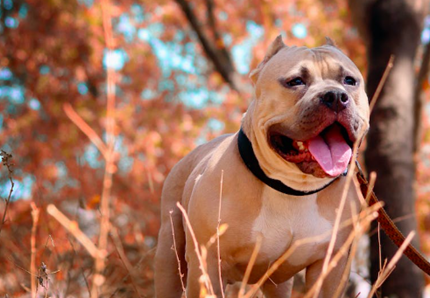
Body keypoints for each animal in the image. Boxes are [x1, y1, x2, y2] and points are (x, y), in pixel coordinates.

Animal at [155, 37, 370, 298]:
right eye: (295, 81)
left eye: (349, 81)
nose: (336, 96)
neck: (291, 188)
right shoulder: (206, 263)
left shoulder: (330, 268)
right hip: (169, 253)